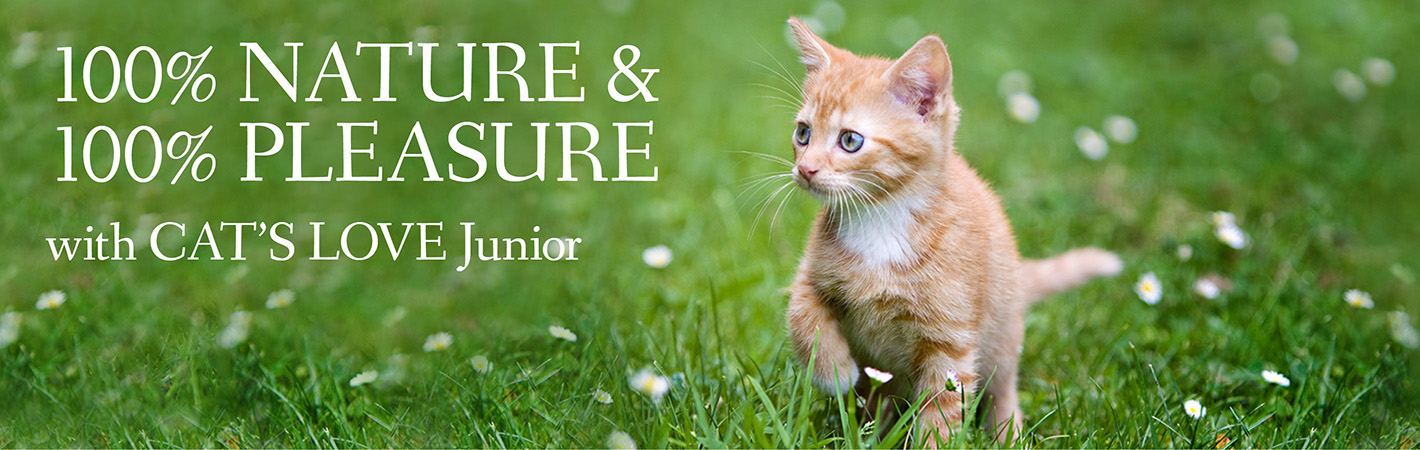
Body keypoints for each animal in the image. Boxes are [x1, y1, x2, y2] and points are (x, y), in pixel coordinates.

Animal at [783, 15, 1124, 442]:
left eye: (850, 140)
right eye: (803, 133)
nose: (805, 169)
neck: (881, 219)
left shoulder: (950, 340)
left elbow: (942, 409)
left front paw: (930, 441)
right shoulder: (813, 274)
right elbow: (801, 312)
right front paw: (834, 371)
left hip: (1000, 341)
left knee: (1002, 389)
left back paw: (1006, 434)